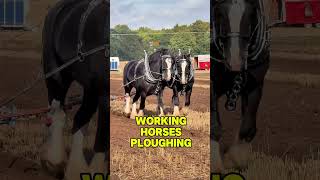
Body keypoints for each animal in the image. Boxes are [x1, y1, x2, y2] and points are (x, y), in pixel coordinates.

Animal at [39, 0, 109, 179]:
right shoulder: (105, 92)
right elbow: (103, 134)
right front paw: (97, 171)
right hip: (56, 74)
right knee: (57, 113)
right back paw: (56, 160)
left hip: (91, 87)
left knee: (80, 118)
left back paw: (75, 169)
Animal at [211, 0, 272, 172]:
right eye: (219, 13)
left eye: (251, 13)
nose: (236, 61)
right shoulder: (212, 86)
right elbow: (215, 126)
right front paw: (216, 165)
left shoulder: (255, 87)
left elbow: (247, 127)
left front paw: (235, 159)